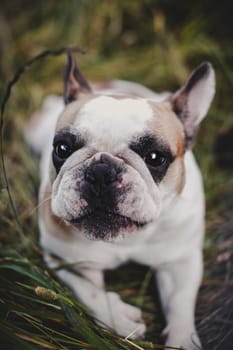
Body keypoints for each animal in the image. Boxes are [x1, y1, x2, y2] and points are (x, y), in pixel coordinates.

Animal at [25, 52, 215, 350]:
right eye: (62, 148)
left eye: (155, 157)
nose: (102, 171)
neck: (129, 239)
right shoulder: (66, 258)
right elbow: (89, 293)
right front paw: (120, 320)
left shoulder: (181, 260)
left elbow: (180, 302)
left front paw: (183, 340)